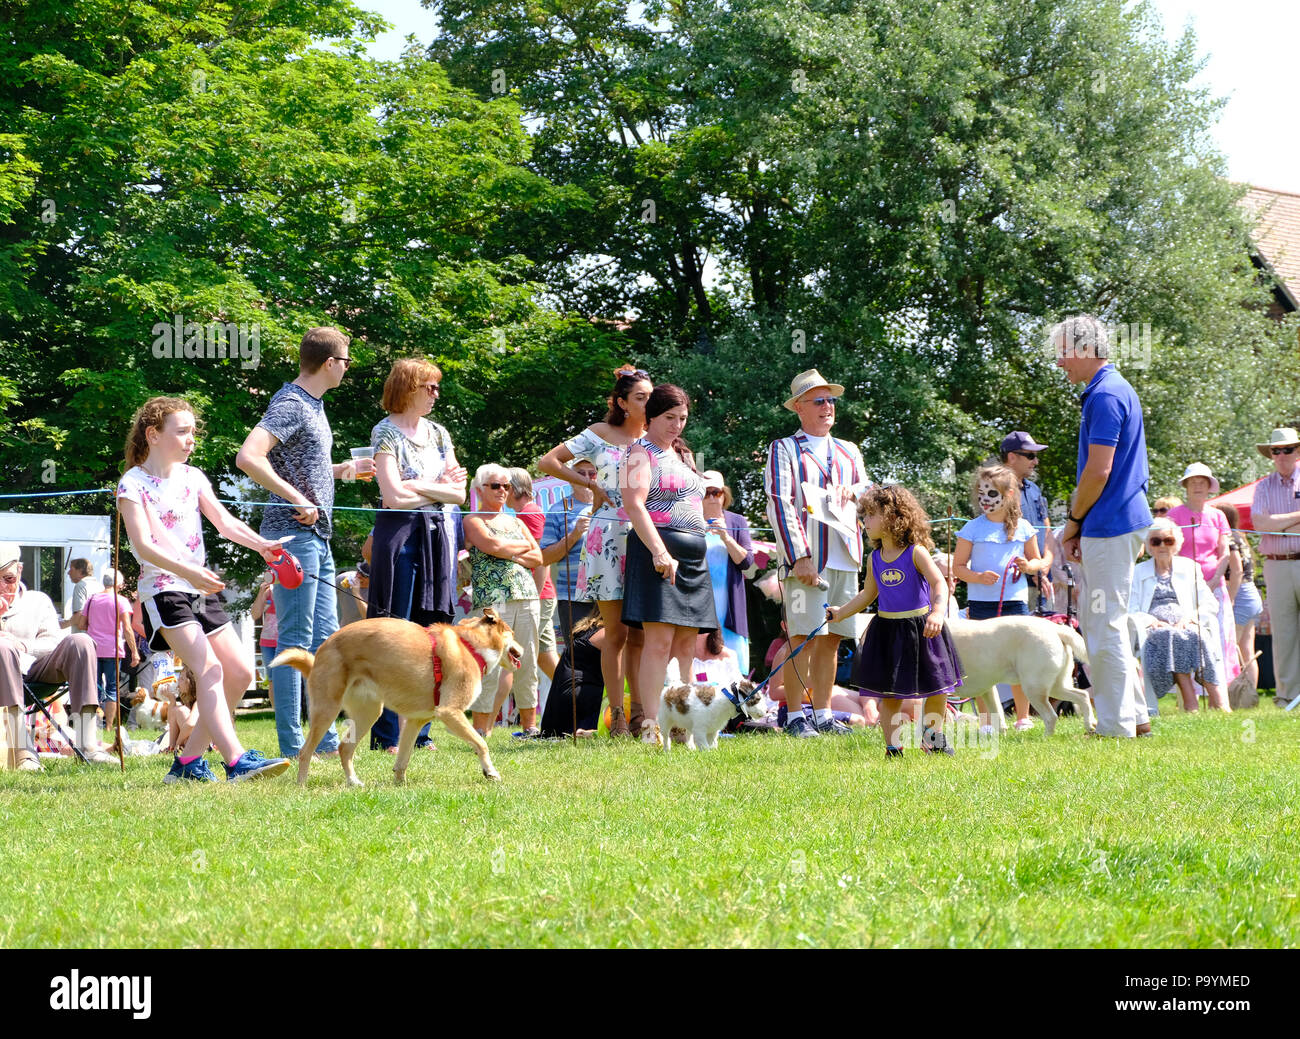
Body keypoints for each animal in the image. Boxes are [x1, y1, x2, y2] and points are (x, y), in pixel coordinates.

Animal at [271, 608, 520, 790]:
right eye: (513, 633)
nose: (523, 649)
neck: (470, 646)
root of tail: (320, 653)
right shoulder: (450, 712)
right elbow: (481, 743)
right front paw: (491, 772)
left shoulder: (415, 721)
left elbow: (403, 757)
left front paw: (400, 783)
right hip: (327, 709)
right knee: (305, 751)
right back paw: (302, 786)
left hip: (368, 713)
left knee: (344, 748)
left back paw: (354, 782)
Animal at [946, 613, 1097, 733]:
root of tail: (1055, 628)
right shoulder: (988, 689)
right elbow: (998, 716)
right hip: (1055, 686)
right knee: (1082, 695)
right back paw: (1090, 724)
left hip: (1033, 688)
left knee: (1051, 716)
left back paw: (1045, 739)